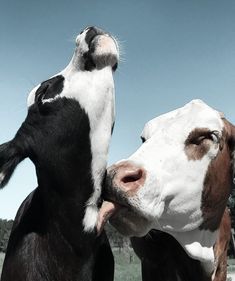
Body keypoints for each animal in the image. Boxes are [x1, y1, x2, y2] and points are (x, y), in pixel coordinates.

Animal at [99, 100, 235, 280]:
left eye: (207, 136)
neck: (201, 245)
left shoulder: (222, 264)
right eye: (144, 139)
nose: (113, 175)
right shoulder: (152, 263)